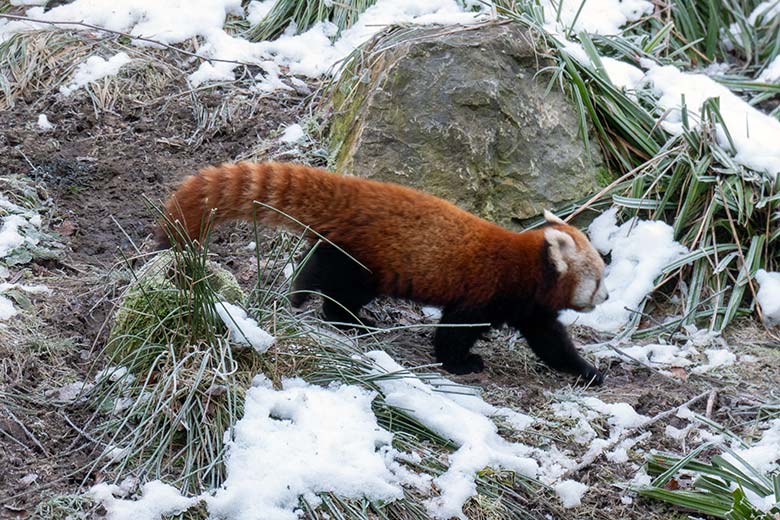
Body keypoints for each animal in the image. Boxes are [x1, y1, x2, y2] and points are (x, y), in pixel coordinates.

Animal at [163, 160, 608, 384]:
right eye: (600, 279)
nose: (606, 298)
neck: (525, 266)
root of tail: (357, 192)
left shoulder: (530, 308)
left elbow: (551, 342)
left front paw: (586, 371)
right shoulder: (484, 290)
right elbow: (454, 331)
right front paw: (461, 364)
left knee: (318, 263)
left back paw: (303, 296)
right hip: (367, 262)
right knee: (338, 287)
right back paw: (346, 319)